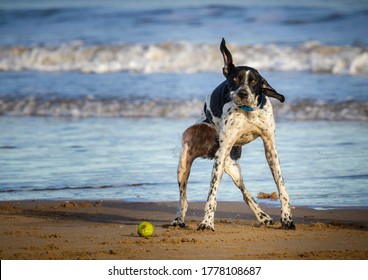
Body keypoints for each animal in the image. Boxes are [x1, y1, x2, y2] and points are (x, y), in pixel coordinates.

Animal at [172, 38, 296, 231]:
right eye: (235, 79)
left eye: (253, 82)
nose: (242, 93)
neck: (248, 111)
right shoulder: (222, 154)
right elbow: (211, 194)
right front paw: (207, 222)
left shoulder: (270, 147)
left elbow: (281, 187)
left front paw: (287, 217)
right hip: (188, 163)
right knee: (183, 199)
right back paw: (178, 219)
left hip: (232, 167)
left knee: (245, 192)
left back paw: (263, 217)